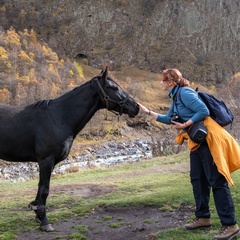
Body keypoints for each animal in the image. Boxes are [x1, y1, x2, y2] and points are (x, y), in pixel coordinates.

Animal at [0, 67, 139, 231]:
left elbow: (40, 190)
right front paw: (44, 221)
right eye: (114, 88)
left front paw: (38, 215)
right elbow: (44, 190)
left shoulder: (49, 163)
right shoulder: (46, 160)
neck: (60, 117)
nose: (136, 107)